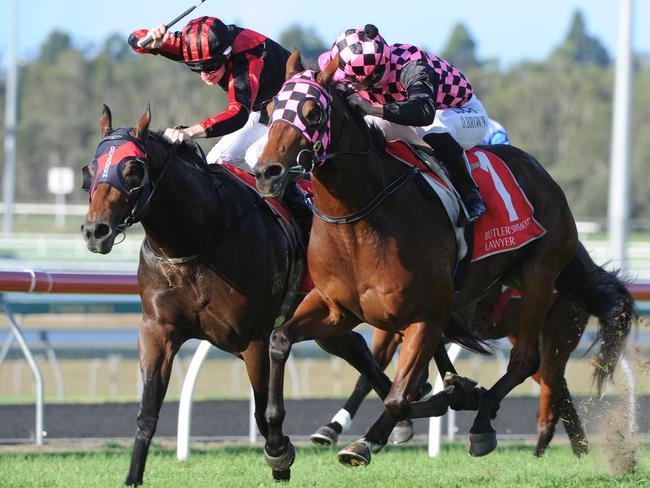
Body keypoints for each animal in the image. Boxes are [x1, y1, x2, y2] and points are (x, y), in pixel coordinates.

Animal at [79, 106, 394, 484]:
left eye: (133, 170)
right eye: (90, 170)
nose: (96, 231)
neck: (196, 239)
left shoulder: (254, 338)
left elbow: (262, 410)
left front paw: (280, 457)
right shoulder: (157, 331)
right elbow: (147, 413)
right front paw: (133, 478)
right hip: (327, 320)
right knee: (359, 349)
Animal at [253, 51, 632, 474]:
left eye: (313, 112)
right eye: (270, 109)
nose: (267, 172)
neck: (359, 219)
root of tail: (543, 175)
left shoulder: (426, 316)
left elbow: (399, 395)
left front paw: (369, 440)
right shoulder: (337, 308)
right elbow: (280, 341)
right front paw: (277, 446)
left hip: (540, 278)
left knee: (527, 362)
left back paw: (484, 423)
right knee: (545, 378)